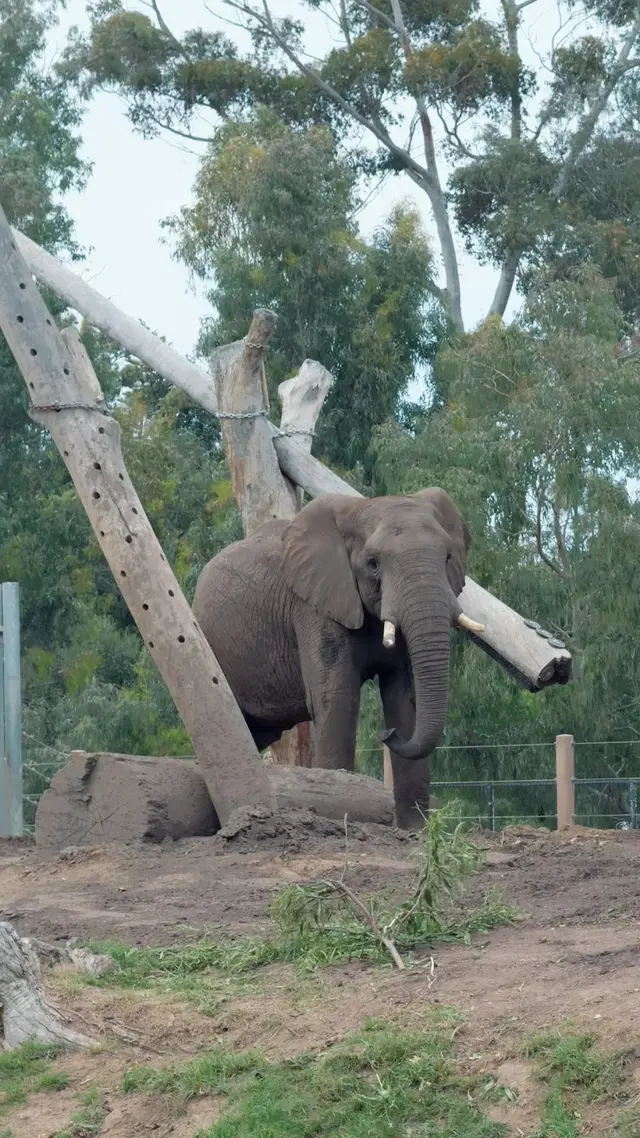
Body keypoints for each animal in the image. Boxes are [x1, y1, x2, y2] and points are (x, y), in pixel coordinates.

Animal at [192, 487, 483, 830]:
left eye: (448, 558)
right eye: (372, 564)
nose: (386, 734)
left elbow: (404, 697)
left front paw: (415, 831)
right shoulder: (314, 606)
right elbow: (338, 696)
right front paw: (341, 814)